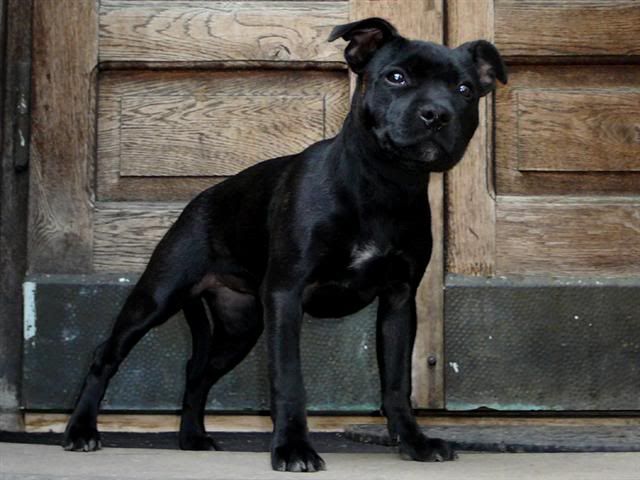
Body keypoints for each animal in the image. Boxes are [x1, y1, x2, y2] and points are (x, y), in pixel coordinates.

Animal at [63, 17, 507, 472]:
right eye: (395, 77)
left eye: (465, 90)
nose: (436, 114)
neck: (383, 185)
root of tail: (202, 198)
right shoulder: (286, 295)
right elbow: (289, 379)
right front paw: (293, 447)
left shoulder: (399, 302)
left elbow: (397, 383)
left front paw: (414, 442)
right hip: (157, 297)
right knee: (106, 355)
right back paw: (81, 431)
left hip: (240, 327)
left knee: (197, 372)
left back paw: (192, 437)